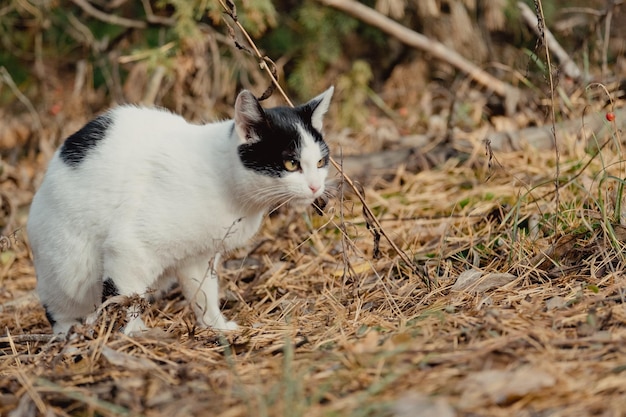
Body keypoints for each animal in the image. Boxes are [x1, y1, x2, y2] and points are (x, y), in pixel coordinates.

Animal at [26, 87, 332, 334]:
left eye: (320, 162)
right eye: (291, 164)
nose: (316, 187)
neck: (224, 181)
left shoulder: (198, 257)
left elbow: (204, 295)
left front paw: (216, 327)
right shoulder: (129, 248)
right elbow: (125, 298)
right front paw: (135, 334)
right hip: (67, 270)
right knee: (62, 309)